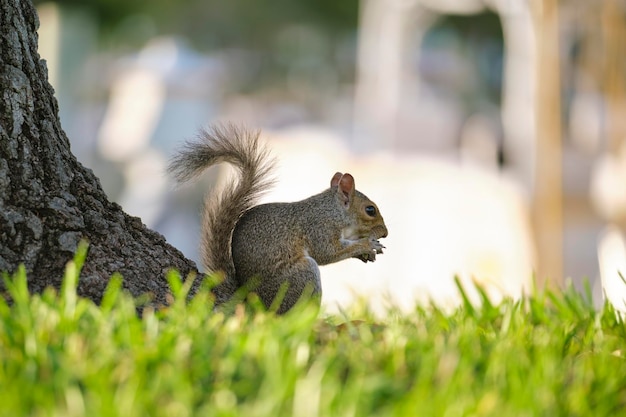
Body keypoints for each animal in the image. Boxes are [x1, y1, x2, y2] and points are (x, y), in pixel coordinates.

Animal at [168, 123, 388, 312]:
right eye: (370, 210)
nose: (385, 233)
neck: (331, 211)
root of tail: (250, 297)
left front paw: (367, 251)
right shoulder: (319, 228)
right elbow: (328, 252)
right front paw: (367, 245)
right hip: (301, 276)